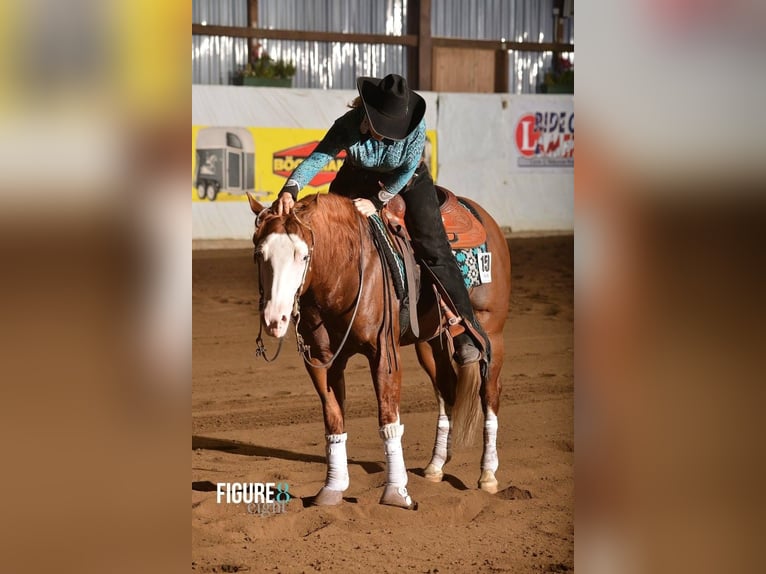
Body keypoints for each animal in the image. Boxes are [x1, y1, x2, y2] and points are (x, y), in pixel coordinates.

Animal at [249, 195, 512, 512]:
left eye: (303, 256)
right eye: (259, 254)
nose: (274, 319)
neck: (344, 273)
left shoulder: (385, 354)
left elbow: (388, 419)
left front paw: (397, 492)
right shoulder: (322, 360)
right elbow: (334, 417)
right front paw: (332, 488)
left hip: (492, 333)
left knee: (490, 394)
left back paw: (488, 474)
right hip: (429, 344)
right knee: (447, 389)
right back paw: (436, 466)